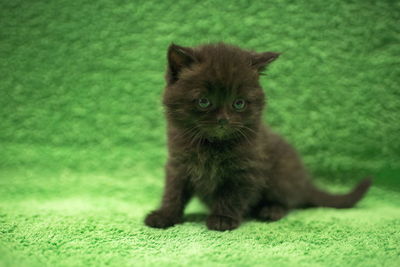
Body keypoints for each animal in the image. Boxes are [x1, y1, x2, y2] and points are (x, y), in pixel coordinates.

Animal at [145, 43, 372, 231]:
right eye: (203, 101)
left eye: (239, 103)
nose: (223, 120)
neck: (211, 145)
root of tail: (305, 182)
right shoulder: (178, 164)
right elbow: (173, 191)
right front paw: (165, 215)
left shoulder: (246, 168)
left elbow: (231, 194)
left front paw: (223, 219)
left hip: (283, 172)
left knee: (288, 201)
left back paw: (271, 210)